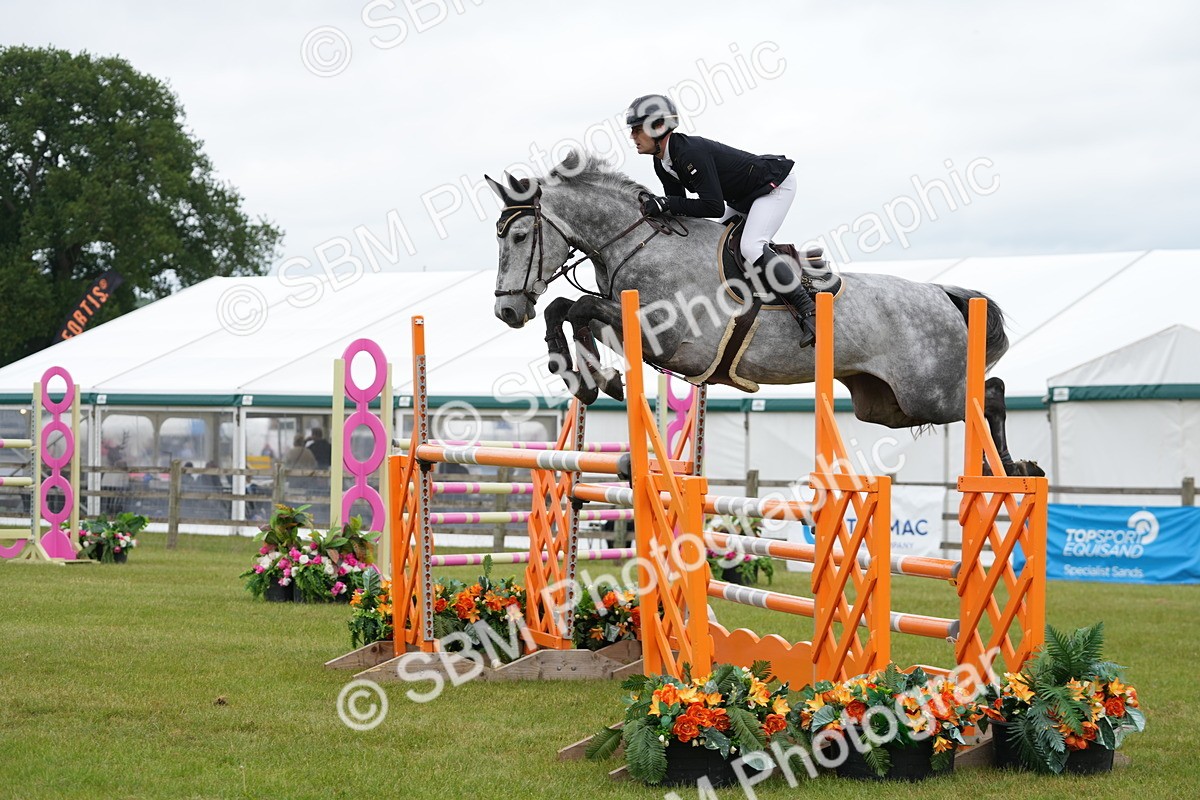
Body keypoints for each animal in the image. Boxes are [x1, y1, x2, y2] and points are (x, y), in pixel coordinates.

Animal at [485, 152, 1042, 476]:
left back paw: (1013, 468)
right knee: (979, 397)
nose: (507, 309)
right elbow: (566, 309)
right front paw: (590, 379)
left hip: (927, 393)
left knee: (989, 394)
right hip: (885, 405)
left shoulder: (673, 339)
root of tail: (942, 295)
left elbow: (576, 305)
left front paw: (590, 378)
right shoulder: (630, 326)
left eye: (520, 235)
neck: (638, 242)